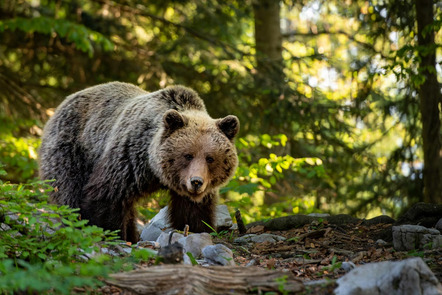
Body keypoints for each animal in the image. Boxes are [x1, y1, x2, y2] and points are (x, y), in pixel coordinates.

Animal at [38, 82, 238, 244]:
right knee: (69, 191)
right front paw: (112, 233)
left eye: (210, 158)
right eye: (188, 155)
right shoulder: (129, 159)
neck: (155, 170)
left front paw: (196, 230)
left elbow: (192, 212)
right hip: (72, 149)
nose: (196, 182)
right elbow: (106, 195)